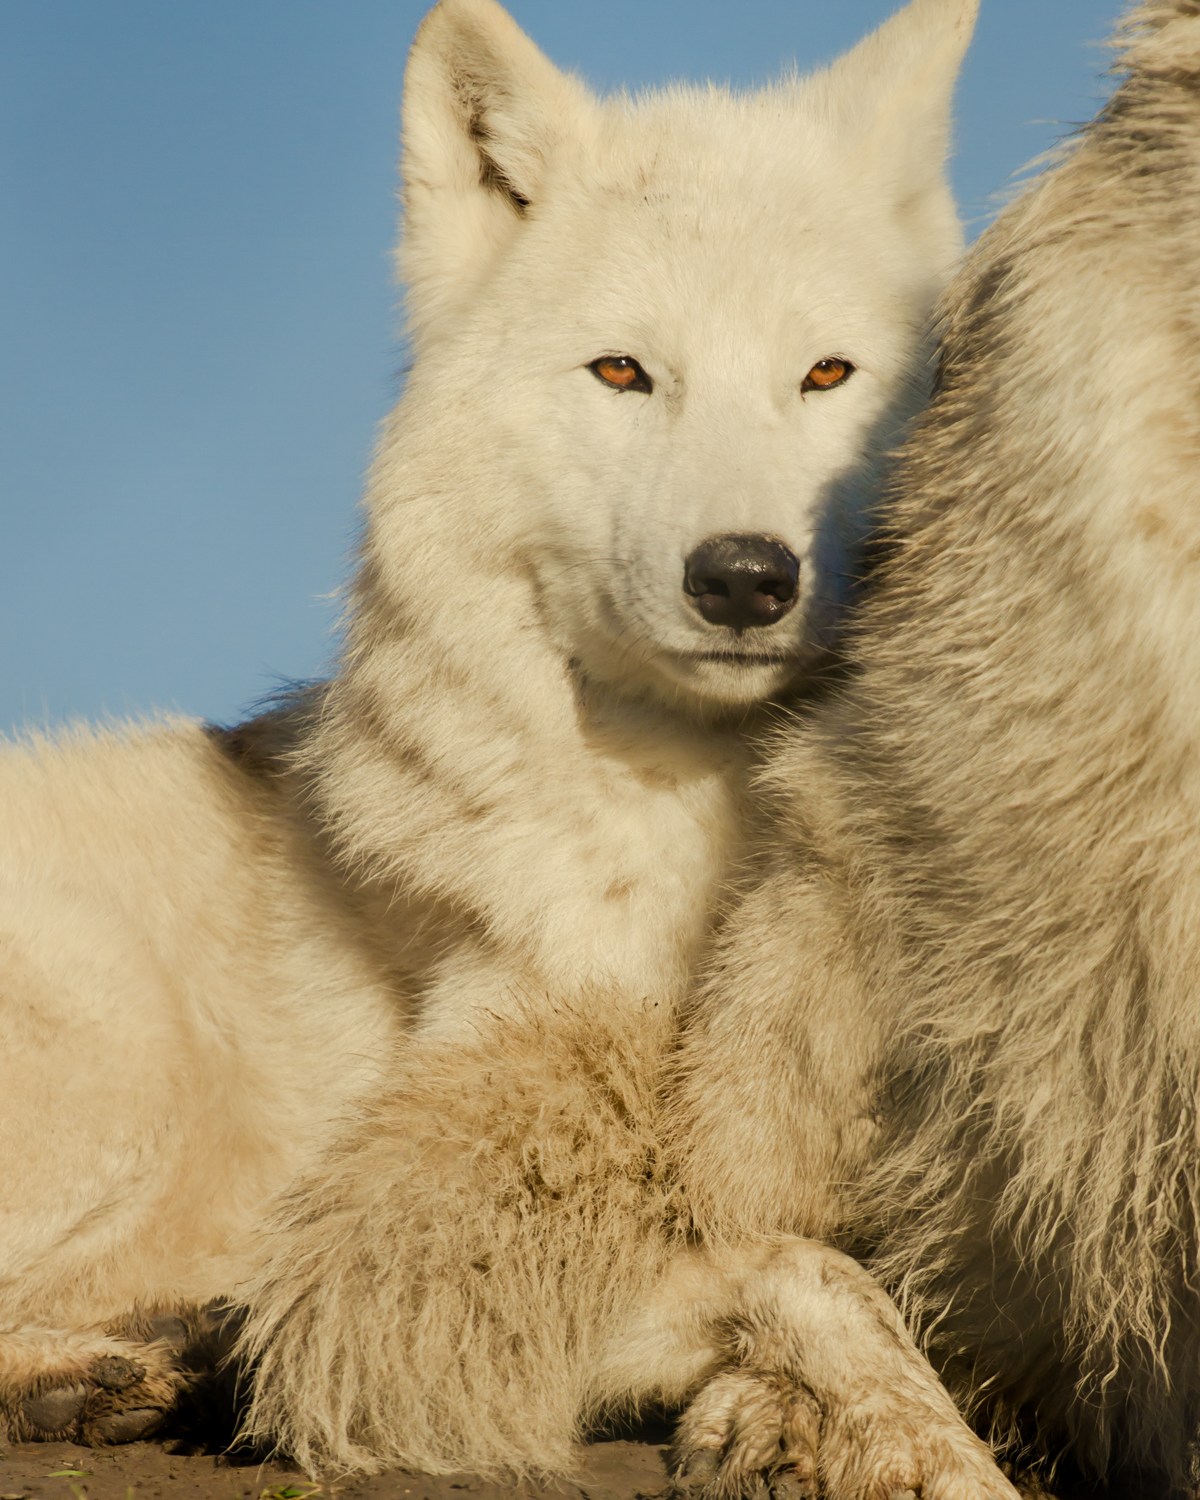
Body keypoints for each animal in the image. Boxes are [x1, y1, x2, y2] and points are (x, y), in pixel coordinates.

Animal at [0, 0, 1013, 1493]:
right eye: (623, 372)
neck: (706, 829)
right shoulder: (415, 1266)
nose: (745, 577)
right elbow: (813, 1273)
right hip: (117, 1061)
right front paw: (912, 1446)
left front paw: (769, 1422)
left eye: (827, 373)